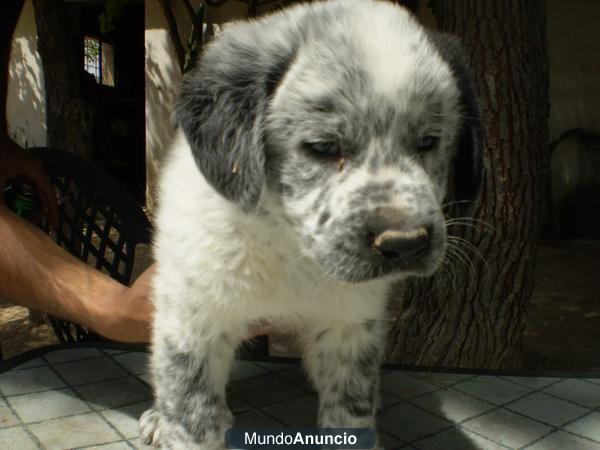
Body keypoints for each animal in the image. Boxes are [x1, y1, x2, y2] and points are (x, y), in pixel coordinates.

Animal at [141, 0, 482, 448]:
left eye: (428, 142)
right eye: (322, 147)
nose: (406, 243)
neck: (288, 248)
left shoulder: (351, 327)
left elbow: (350, 414)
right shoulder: (192, 324)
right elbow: (192, 419)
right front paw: (174, 424)